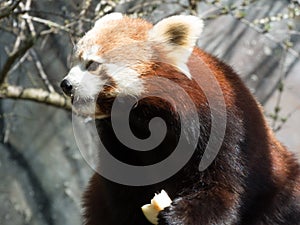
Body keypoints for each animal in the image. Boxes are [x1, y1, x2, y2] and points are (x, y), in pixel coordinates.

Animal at [60, 12, 300, 225]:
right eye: (74, 61)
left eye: (92, 64)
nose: (65, 84)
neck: (147, 120)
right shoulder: (118, 141)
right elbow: (123, 191)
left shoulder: (225, 130)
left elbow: (223, 187)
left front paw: (177, 216)